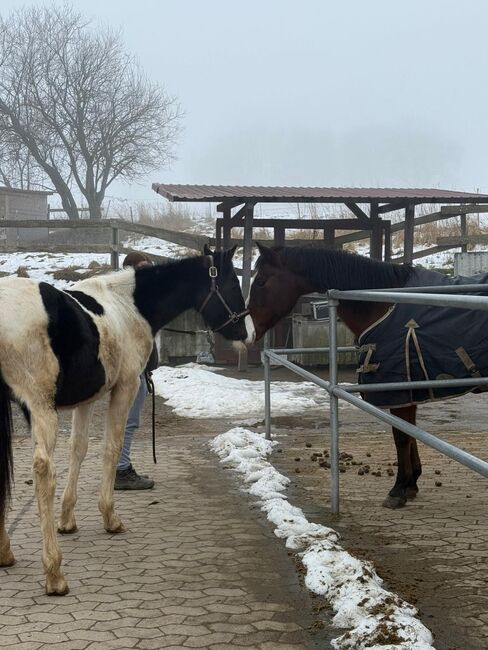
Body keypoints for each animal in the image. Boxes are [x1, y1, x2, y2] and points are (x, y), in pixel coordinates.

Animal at [0, 245, 252, 595]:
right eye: (232, 284)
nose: (247, 333)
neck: (128, 306)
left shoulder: (86, 399)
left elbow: (78, 449)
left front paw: (67, 520)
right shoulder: (125, 387)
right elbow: (112, 446)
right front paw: (110, 517)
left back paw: (5, 552)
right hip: (39, 406)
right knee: (43, 472)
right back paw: (54, 573)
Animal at [247, 242, 488, 509]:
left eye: (261, 281)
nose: (248, 332)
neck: (382, 304)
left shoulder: (397, 389)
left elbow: (401, 436)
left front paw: (398, 490)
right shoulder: (407, 391)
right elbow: (409, 432)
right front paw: (411, 484)